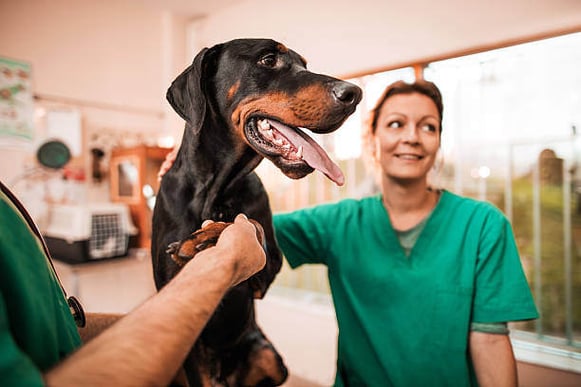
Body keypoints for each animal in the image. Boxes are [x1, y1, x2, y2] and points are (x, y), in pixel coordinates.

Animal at [153, 37, 362, 387]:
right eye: (267, 59)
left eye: (304, 64)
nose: (354, 94)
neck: (216, 190)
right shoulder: (173, 304)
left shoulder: (263, 278)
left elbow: (252, 225)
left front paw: (206, 237)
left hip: (267, 354)